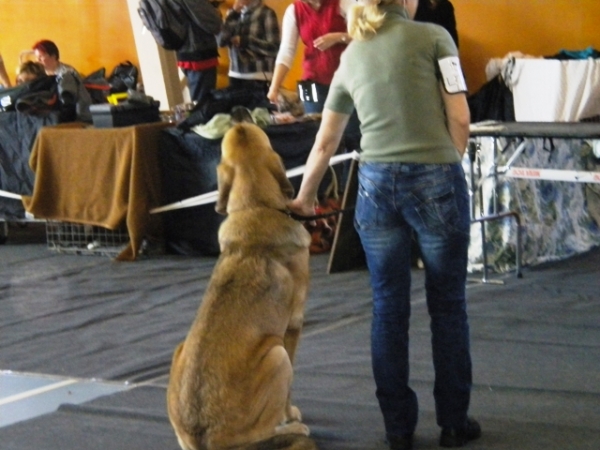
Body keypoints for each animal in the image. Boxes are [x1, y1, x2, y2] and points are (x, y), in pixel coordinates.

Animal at [166, 123, 316, 450]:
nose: (236, 113)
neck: (254, 206)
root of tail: (205, 436)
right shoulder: (293, 327)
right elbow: (289, 392)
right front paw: (290, 414)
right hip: (276, 355)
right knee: (263, 431)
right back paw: (293, 429)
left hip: (179, 349)